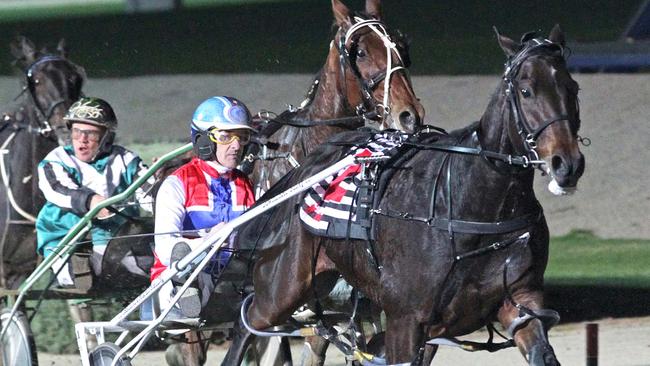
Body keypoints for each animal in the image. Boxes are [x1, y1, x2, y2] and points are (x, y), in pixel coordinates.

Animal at [225, 24, 584, 364]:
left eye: (573, 88)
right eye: (526, 91)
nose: (567, 164)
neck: (477, 204)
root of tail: (316, 159)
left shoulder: (519, 303)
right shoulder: (405, 319)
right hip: (283, 286)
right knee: (247, 324)